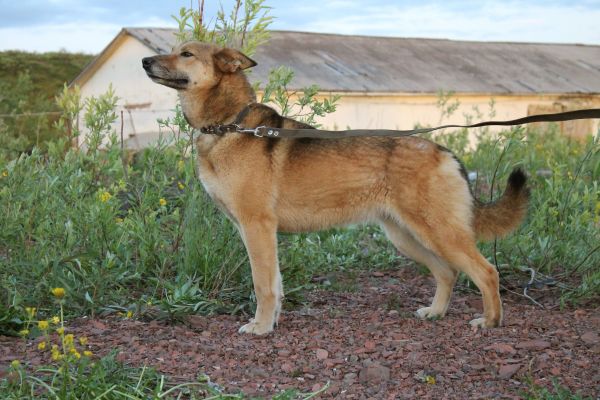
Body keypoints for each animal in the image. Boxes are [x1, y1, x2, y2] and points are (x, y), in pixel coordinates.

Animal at [142, 41, 528, 334]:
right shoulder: (255, 232)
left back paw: (490, 321)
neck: (230, 124)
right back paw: (436, 312)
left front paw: (261, 328)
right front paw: (272, 322)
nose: (144, 61)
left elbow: (263, 285)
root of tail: (445, 153)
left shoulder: (257, 228)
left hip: (440, 233)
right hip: (406, 237)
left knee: (486, 272)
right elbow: (276, 285)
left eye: (186, 54)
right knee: (448, 272)